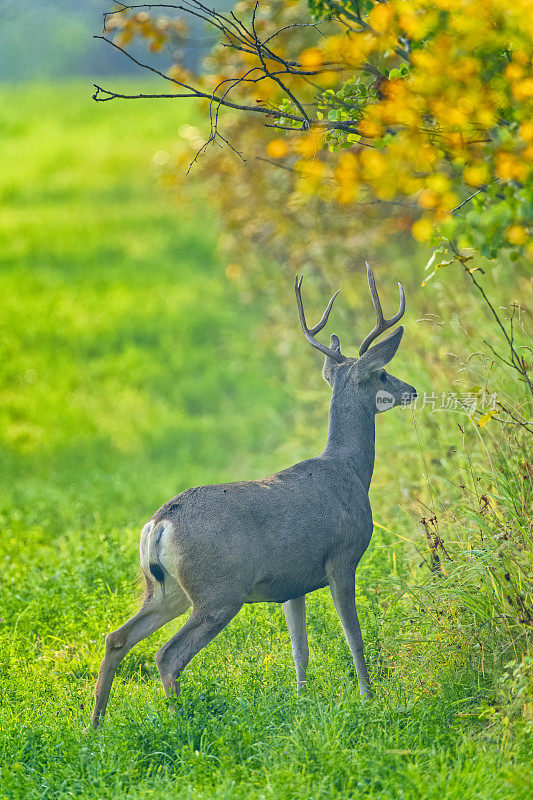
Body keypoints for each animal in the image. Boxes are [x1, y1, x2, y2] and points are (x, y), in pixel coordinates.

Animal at [90, 264, 416, 732]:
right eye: (383, 374)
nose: (411, 390)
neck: (350, 472)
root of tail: (160, 523)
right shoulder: (342, 557)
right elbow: (353, 637)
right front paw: (369, 698)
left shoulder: (293, 583)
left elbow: (300, 650)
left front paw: (302, 702)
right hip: (218, 592)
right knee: (167, 655)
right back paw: (180, 723)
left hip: (166, 589)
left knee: (117, 637)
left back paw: (95, 725)